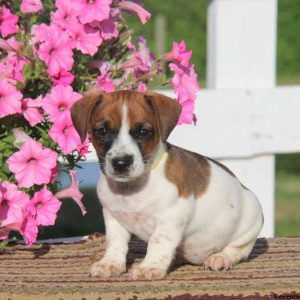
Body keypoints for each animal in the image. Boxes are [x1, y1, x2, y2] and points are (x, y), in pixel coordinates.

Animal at [71, 90, 264, 280]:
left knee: (237, 250)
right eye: (102, 131)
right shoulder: (113, 218)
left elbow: (157, 242)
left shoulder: (170, 218)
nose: (121, 163)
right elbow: (115, 242)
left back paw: (220, 258)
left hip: (250, 222)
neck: (131, 188)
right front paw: (110, 263)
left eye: (143, 132)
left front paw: (149, 267)